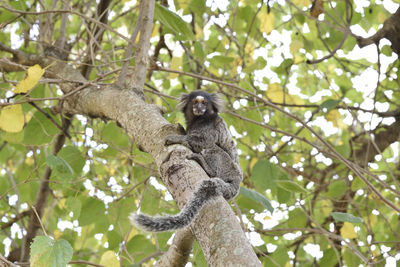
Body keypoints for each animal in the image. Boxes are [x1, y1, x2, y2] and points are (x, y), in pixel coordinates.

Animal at [130, 90, 244, 232]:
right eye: (195, 102)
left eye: (204, 103)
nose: (199, 108)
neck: (199, 119)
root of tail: (236, 183)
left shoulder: (210, 127)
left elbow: (201, 142)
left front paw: (175, 138)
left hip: (227, 166)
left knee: (211, 148)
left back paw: (206, 167)